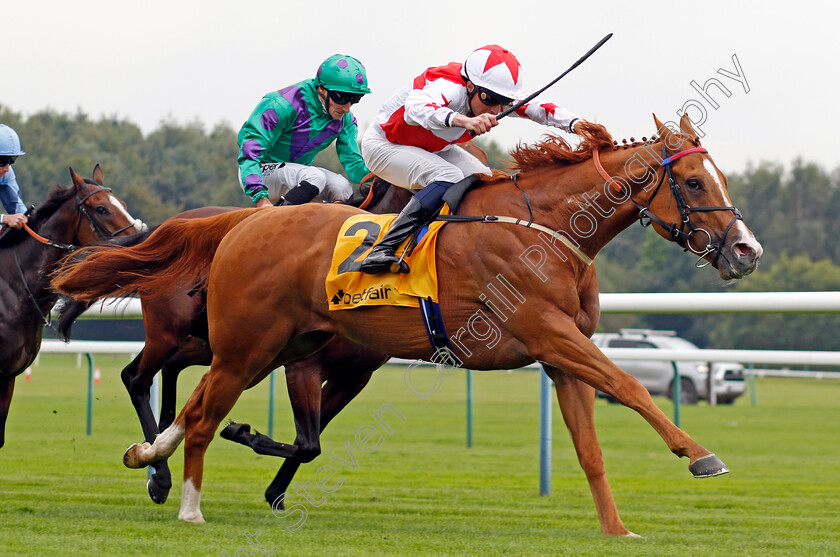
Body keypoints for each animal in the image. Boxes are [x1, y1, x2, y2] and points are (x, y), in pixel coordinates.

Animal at [52, 114, 760, 536]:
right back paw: (187, 501)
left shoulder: (562, 354)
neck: (547, 228)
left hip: (269, 348)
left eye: (718, 176)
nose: (746, 251)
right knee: (185, 405)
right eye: (694, 182)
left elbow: (590, 446)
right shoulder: (545, 329)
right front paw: (701, 456)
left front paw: (617, 529)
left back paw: (151, 457)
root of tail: (244, 221)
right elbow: (634, 386)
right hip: (242, 347)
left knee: (193, 404)